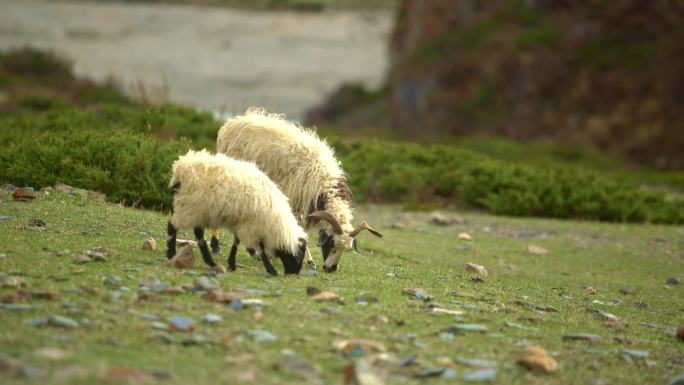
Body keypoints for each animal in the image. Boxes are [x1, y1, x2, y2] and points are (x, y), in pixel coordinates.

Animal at [166, 148, 308, 274]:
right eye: (299, 257)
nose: (293, 273)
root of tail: (180, 168)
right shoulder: (252, 225)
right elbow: (261, 248)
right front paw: (270, 269)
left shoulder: (242, 223)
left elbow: (236, 243)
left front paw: (232, 264)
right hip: (188, 207)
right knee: (172, 226)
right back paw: (171, 253)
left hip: (199, 211)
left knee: (199, 236)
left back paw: (210, 262)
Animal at [216, 106, 382, 272]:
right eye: (331, 244)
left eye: (346, 249)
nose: (330, 269)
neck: (324, 182)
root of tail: (232, 122)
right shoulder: (295, 203)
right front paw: (306, 260)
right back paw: (217, 246)